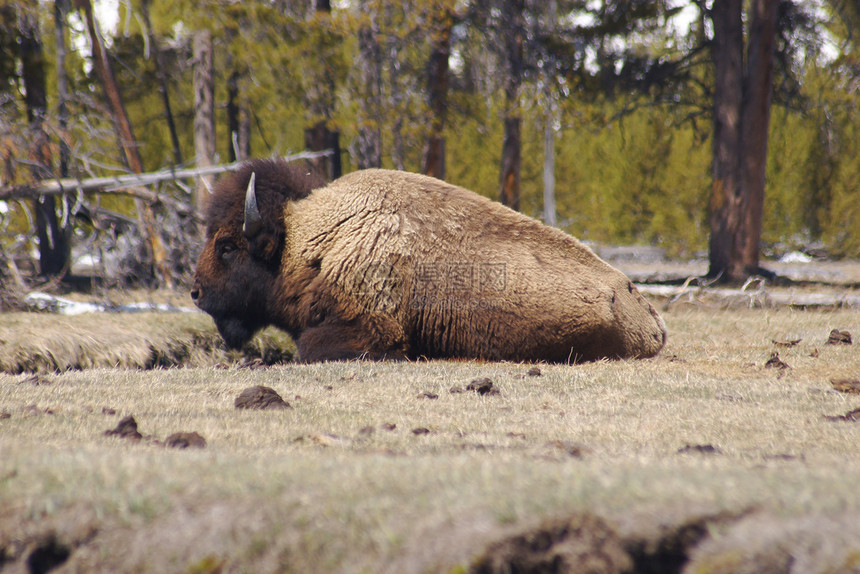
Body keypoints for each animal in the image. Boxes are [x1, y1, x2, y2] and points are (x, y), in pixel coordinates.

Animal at [193, 158, 664, 364]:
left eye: (227, 245)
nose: (196, 292)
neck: (312, 242)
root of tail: (643, 306)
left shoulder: (371, 329)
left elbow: (308, 349)